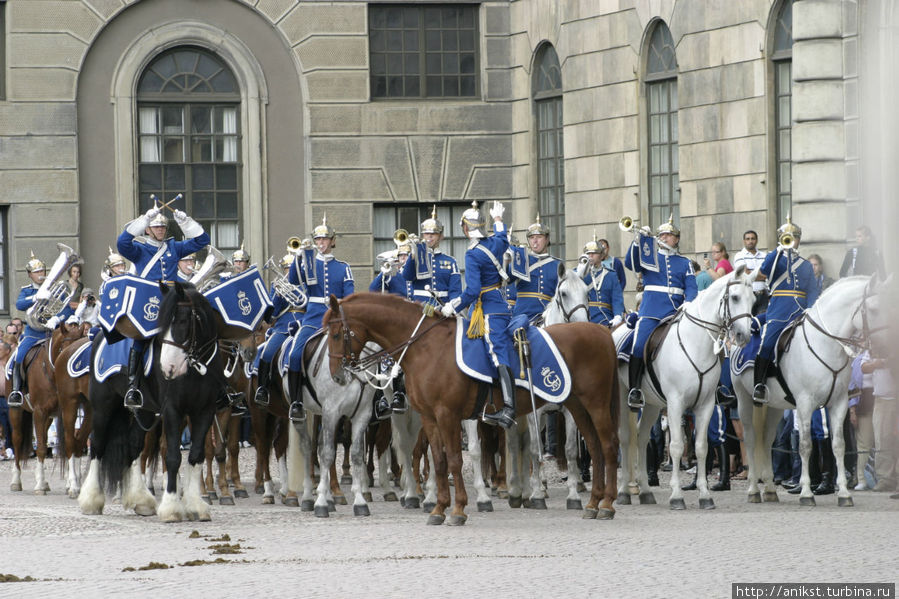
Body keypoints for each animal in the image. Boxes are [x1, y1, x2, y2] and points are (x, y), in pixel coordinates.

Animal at [9, 326, 85, 494]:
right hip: (16, 411)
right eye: (66, 349)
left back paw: (42, 481)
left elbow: (66, 445)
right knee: (17, 439)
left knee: (42, 438)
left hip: (49, 417)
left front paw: (70, 484)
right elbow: (42, 448)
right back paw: (16, 481)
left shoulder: (62, 412)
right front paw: (39, 487)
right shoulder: (39, 411)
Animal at [326, 294, 624, 524]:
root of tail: (600, 331)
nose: (337, 375)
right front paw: (439, 508)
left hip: (596, 404)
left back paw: (608, 504)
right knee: (595, 448)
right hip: (577, 406)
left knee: (609, 446)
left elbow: (455, 460)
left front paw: (458, 509)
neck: (426, 347)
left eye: (337, 333)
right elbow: (439, 460)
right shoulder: (430, 417)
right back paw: (593, 503)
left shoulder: (448, 415)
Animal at [506, 262, 592, 510]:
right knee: (518, 444)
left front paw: (573, 495)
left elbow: (571, 450)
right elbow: (536, 449)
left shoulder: (570, 412)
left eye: (587, 292)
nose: (582, 324)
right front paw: (535, 495)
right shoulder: (535, 412)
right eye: (563, 293)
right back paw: (520, 490)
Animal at [612, 268, 760, 510]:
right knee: (626, 437)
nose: (744, 336)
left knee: (642, 438)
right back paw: (624, 491)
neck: (695, 344)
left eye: (754, 301)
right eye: (736, 297)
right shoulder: (675, 404)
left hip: (652, 404)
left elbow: (701, 447)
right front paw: (676, 496)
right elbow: (676, 446)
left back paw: (645, 491)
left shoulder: (706, 404)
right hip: (624, 398)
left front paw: (705, 495)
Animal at [736, 276, 876, 506]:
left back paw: (770, 490)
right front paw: (807, 493)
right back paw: (753, 490)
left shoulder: (839, 403)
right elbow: (805, 445)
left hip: (774, 406)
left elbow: (838, 445)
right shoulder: (804, 403)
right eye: (876, 307)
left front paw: (843, 493)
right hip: (744, 399)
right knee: (750, 439)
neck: (826, 344)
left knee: (767, 440)